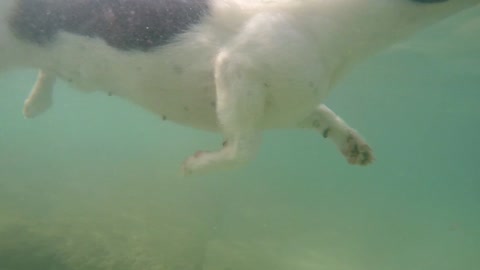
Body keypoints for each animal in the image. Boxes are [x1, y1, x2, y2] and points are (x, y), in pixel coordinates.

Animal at [0, 0, 478, 175]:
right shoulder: (235, 67)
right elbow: (245, 148)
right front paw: (196, 164)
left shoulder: (290, 106)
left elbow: (323, 115)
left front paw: (352, 143)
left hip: (81, 71)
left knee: (52, 72)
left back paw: (36, 102)